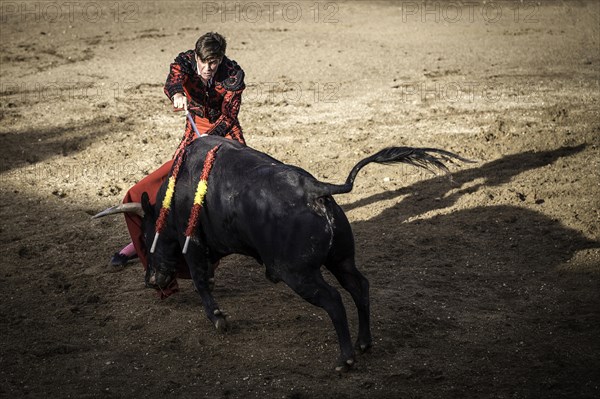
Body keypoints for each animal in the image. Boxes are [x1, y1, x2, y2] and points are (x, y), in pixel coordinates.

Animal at [95, 137, 468, 372]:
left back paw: (345, 359)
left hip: (298, 273)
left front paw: (218, 319)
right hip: (340, 259)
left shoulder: (195, 244)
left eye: (146, 237)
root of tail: (317, 189)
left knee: (334, 300)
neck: (176, 197)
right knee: (358, 286)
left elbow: (202, 281)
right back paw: (364, 343)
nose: (151, 281)